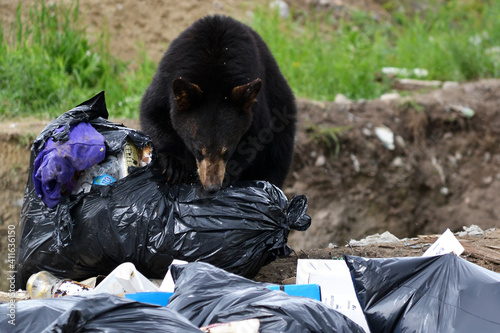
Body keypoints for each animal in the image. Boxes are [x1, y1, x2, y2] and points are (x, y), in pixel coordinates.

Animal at [140, 14, 296, 192]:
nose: (212, 186)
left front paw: (230, 172)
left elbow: (256, 135)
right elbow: (153, 112)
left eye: (226, 151)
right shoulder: (167, 77)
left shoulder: (256, 107)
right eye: (198, 151)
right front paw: (175, 166)